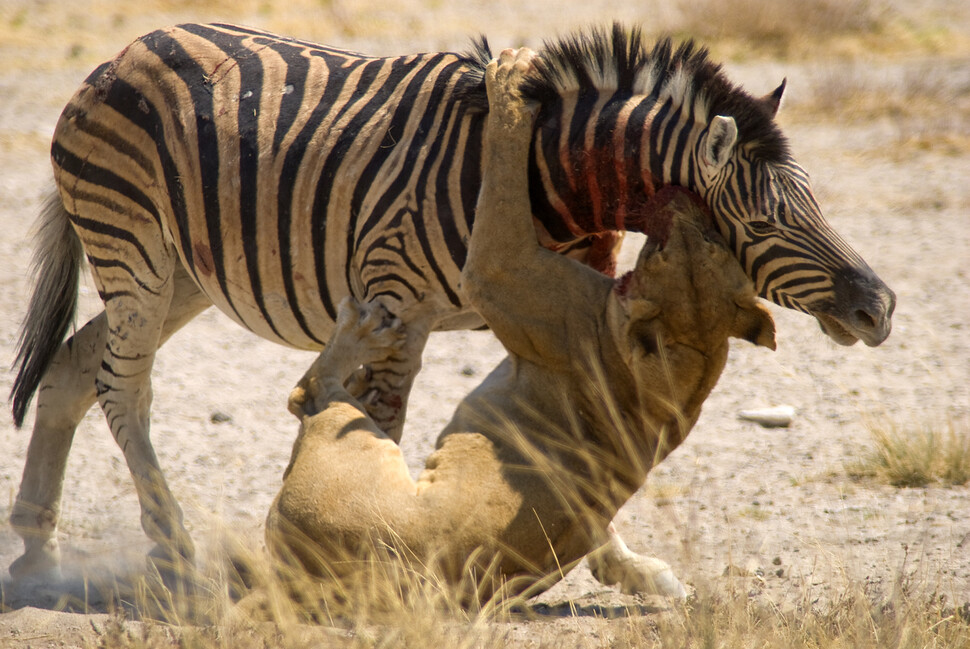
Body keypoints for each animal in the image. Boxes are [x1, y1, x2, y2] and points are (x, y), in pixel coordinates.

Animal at [11, 24, 896, 584]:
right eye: (766, 222)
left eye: (817, 202)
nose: (881, 307)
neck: (562, 179)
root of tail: (127, 49)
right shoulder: (404, 297)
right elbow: (383, 419)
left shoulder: (563, 306)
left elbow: (578, 438)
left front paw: (622, 564)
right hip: (134, 250)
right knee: (123, 385)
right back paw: (171, 549)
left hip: (184, 273)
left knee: (73, 366)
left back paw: (34, 547)